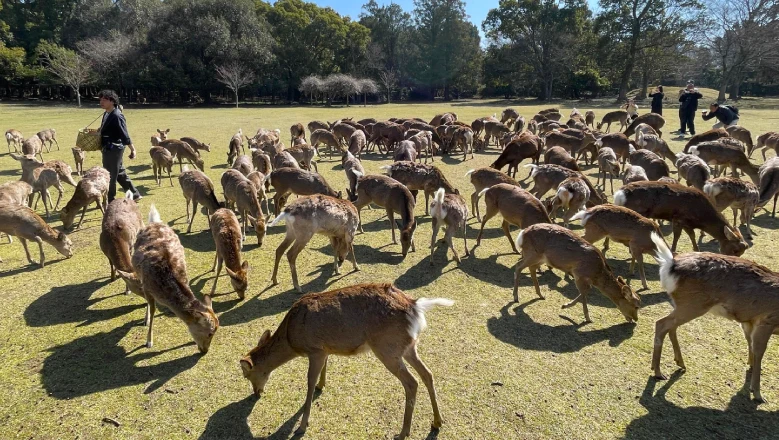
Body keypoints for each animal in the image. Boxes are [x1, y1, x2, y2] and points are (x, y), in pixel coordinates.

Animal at [116, 205, 219, 353]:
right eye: (210, 333)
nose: (205, 350)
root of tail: (154, 222)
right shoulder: (147, 287)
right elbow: (152, 309)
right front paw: (149, 341)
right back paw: (145, 319)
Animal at [239, 283, 450, 439]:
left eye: (247, 375)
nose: (256, 393)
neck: (292, 340)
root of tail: (415, 306)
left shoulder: (315, 349)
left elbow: (309, 383)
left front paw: (302, 426)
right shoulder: (325, 350)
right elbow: (322, 372)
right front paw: (322, 386)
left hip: (387, 348)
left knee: (412, 382)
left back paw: (402, 433)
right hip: (408, 347)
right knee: (427, 374)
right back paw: (437, 422)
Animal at [614, 181, 748, 256]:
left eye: (741, 253)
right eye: (735, 250)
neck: (701, 216)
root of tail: (619, 195)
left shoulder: (687, 223)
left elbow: (692, 235)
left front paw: (697, 250)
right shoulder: (679, 218)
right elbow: (677, 236)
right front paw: (673, 250)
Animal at [649, 231, 779, 403]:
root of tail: (670, 263)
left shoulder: (748, 320)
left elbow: (749, 343)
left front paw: (750, 367)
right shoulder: (766, 319)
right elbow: (759, 352)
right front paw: (758, 394)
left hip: (682, 304)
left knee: (671, 326)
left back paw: (680, 363)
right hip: (693, 305)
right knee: (661, 323)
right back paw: (658, 372)